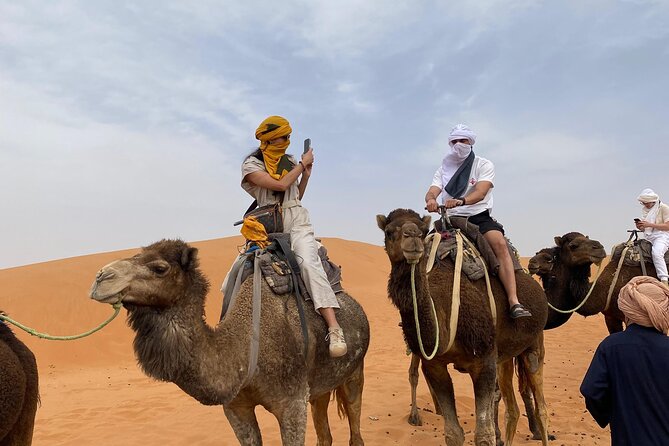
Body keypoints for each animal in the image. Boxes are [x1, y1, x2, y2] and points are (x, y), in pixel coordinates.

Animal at [89, 239, 370, 446]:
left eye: (160, 268)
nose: (101, 277)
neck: (245, 352)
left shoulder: (293, 404)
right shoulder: (236, 409)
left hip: (355, 371)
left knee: (355, 424)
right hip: (320, 387)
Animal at [377, 209, 549, 446]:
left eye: (422, 231)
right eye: (388, 231)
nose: (412, 236)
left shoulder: (484, 360)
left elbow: (484, 434)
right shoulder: (434, 366)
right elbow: (453, 433)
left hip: (534, 344)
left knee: (542, 407)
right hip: (505, 357)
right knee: (513, 409)